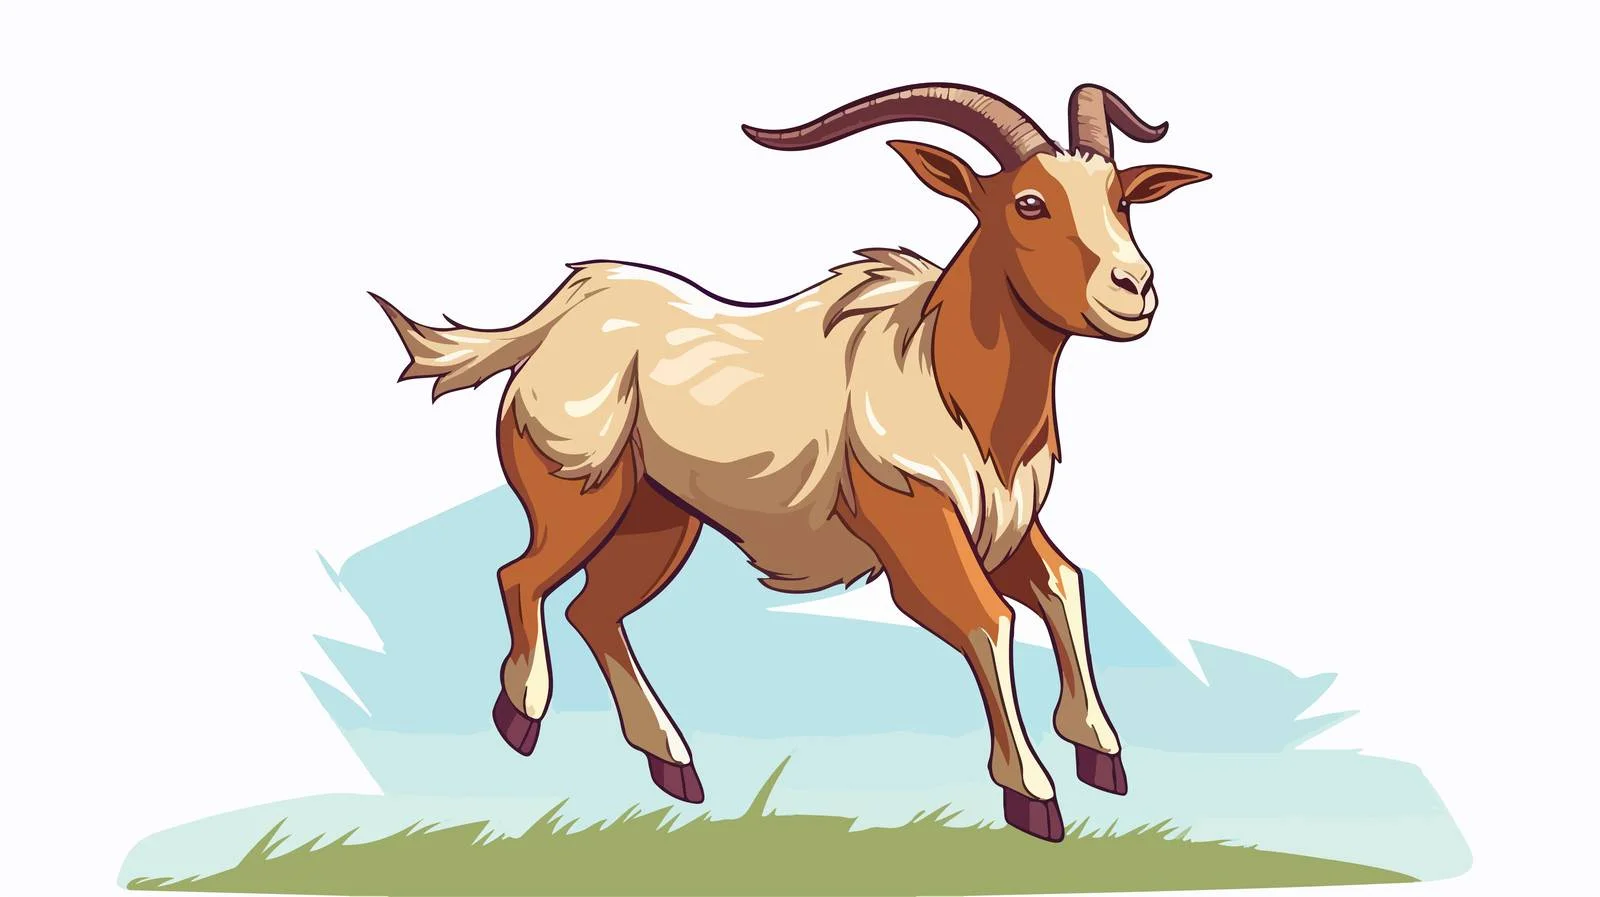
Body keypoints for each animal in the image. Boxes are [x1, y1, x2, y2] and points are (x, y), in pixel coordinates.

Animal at [374, 82, 1209, 841]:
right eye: (1029, 203)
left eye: (1122, 200)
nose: (1134, 288)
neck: (939, 372)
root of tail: (553, 318)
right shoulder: (915, 523)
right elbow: (989, 619)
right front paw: (1032, 795)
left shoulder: (1002, 526)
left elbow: (1063, 586)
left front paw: (1102, 753)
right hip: (579, 492)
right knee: (521, 576)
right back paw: (522, 714)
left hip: (658, 517)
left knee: (593, 609)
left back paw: (673, 762)